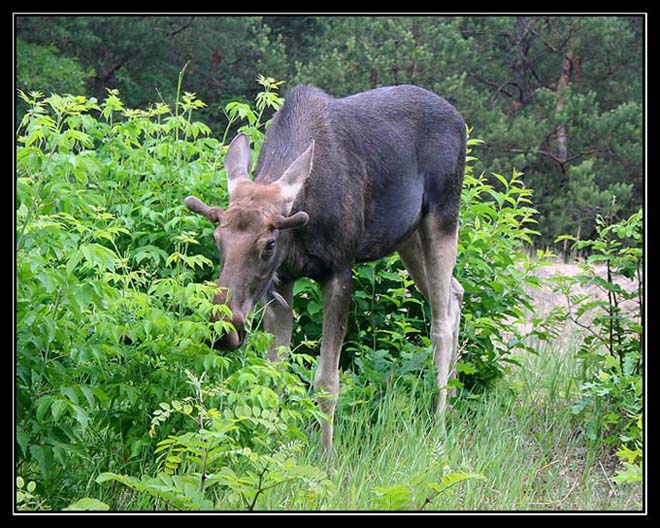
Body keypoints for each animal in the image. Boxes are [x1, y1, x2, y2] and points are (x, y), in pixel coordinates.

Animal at [183, 84, 466, 456]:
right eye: (217, 239)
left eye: (268, 245)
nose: (223, 329)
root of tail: (460, 120)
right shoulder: (281, 281)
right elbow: (275, 373)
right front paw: (271, 447)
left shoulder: (339, 271)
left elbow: (327, 380)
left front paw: (326, 455)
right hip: (407, 236)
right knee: (455, 294)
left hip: (443, 216)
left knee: (440, 322)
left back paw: (440, 422)